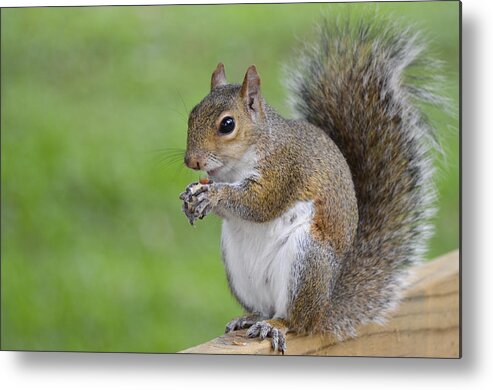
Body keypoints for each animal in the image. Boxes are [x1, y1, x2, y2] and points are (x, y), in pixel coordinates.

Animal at [178, 17, 442, 354]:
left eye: (227, 124)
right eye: (192, 114)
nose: (192, 161)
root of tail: (324, 308)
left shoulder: (286, 169)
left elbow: (261, 204)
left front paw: (213, 195)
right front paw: (192, 197)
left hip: (306, 260)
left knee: (296, 321)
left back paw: (275, 325)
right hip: (239, 266)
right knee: (267, 308)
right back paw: (251, 318)